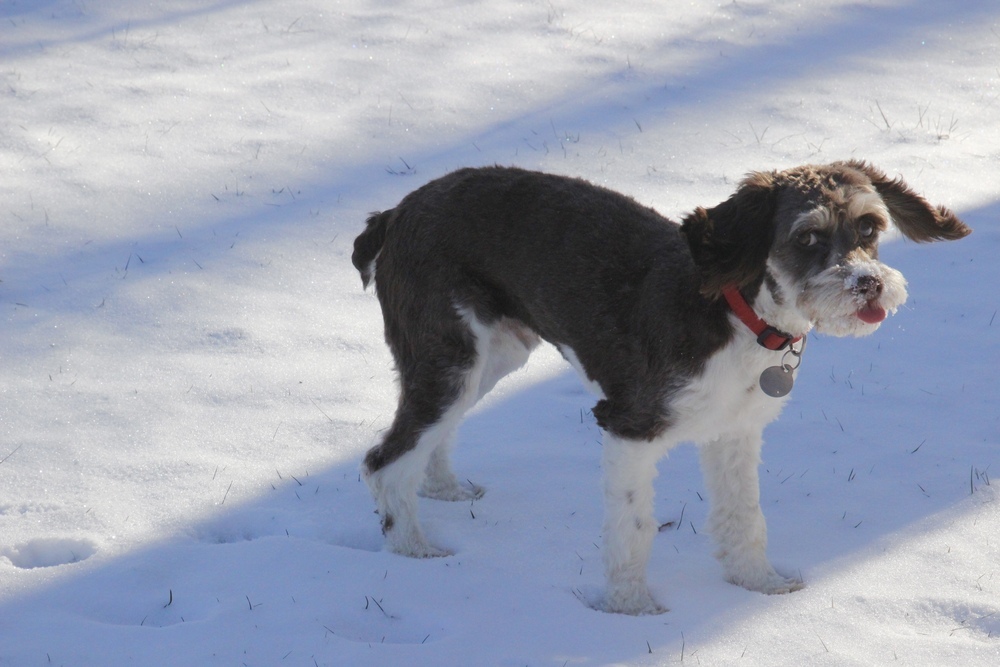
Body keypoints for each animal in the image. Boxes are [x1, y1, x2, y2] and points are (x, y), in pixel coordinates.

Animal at [352, 162, 968, 616]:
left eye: (869, 228)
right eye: (808, 237)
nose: (869, 284)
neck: (737, 314)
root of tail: (396, 212)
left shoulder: (735, 430)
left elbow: (745, 517)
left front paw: (760, 585)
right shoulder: (629, 425)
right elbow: (634, 528)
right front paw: (632, 611)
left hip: (493, 354)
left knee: (428, 438)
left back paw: (444, 490)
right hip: (450, 354)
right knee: (385, 460)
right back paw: (412, 550)